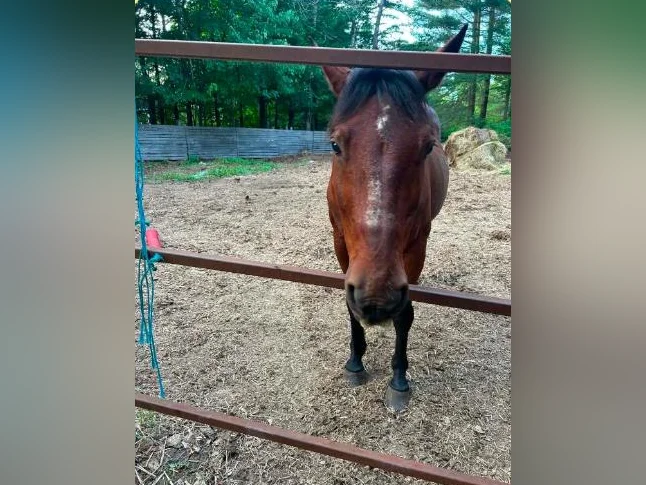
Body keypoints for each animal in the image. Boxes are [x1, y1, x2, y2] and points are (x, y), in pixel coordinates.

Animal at [320, 24, 468, 412]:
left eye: (428, 146)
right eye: (335, 145)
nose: (377, 298)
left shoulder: (415, 248)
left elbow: (404, 314)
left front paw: (399, 379)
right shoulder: (341, 243)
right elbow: (349, 306)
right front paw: (355, 362)